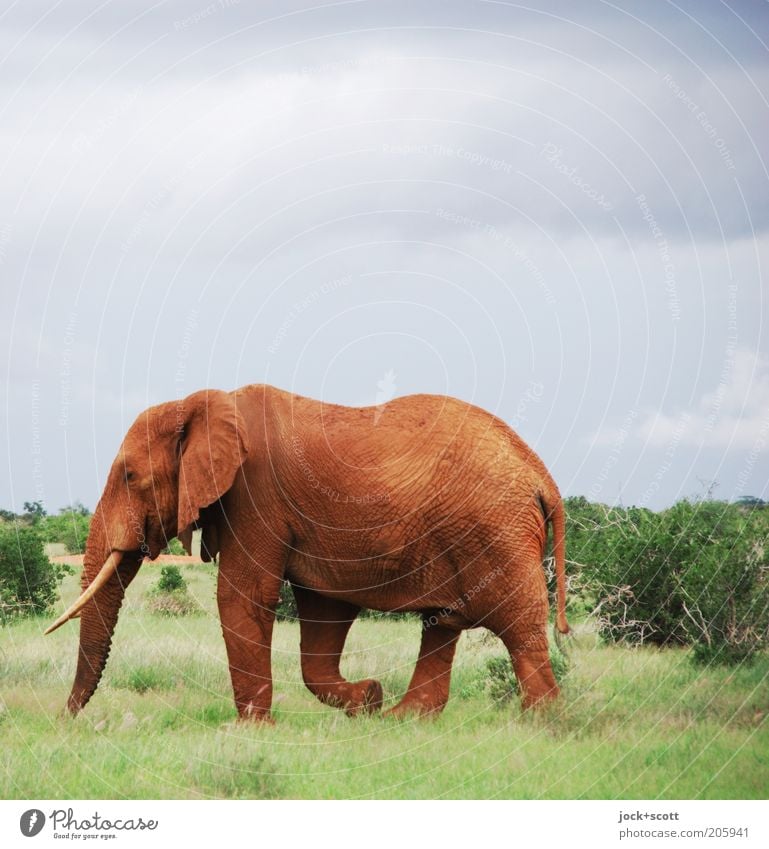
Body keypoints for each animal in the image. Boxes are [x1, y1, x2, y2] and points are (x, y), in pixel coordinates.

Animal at [45, 384, 568, 724]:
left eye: (130, 476)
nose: (65, 720)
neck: (206, 404)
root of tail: (542, 474)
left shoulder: (256, 495)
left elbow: (243, 598)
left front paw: (251, 730)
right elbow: (323, 614)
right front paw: (367, 699)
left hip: (497, 529)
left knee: (518, 624)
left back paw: (542, 723)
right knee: (442, 624)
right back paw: (401, 719)